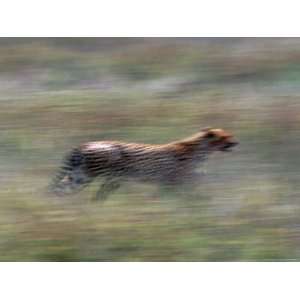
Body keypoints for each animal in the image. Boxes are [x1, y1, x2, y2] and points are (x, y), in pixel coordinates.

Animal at [51, 127, 239, 200]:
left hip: (83, 176)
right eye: (225, 137)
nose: (235, 143)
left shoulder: (176, 183)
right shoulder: (172, 182)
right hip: (94, 176)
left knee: (61, 189)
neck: (201, 149)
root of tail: (85, 144)